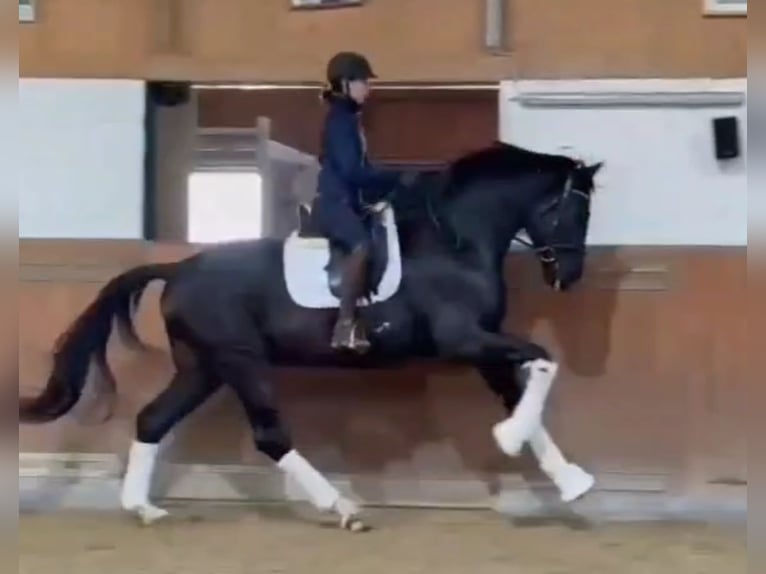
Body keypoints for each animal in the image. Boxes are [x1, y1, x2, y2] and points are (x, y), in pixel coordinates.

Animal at [19, 142, 608, 532]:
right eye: (575, 208)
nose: (570, 275)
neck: (453, 240)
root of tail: (180, 268)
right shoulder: (464, 340)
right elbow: (543, 362)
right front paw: (510, 439)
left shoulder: (483, 347)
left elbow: (526, 391)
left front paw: (570, 480)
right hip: (240, 361)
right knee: (269, 435)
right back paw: (343, 508)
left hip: (203, 366)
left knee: (152, 420)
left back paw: (143, 508)